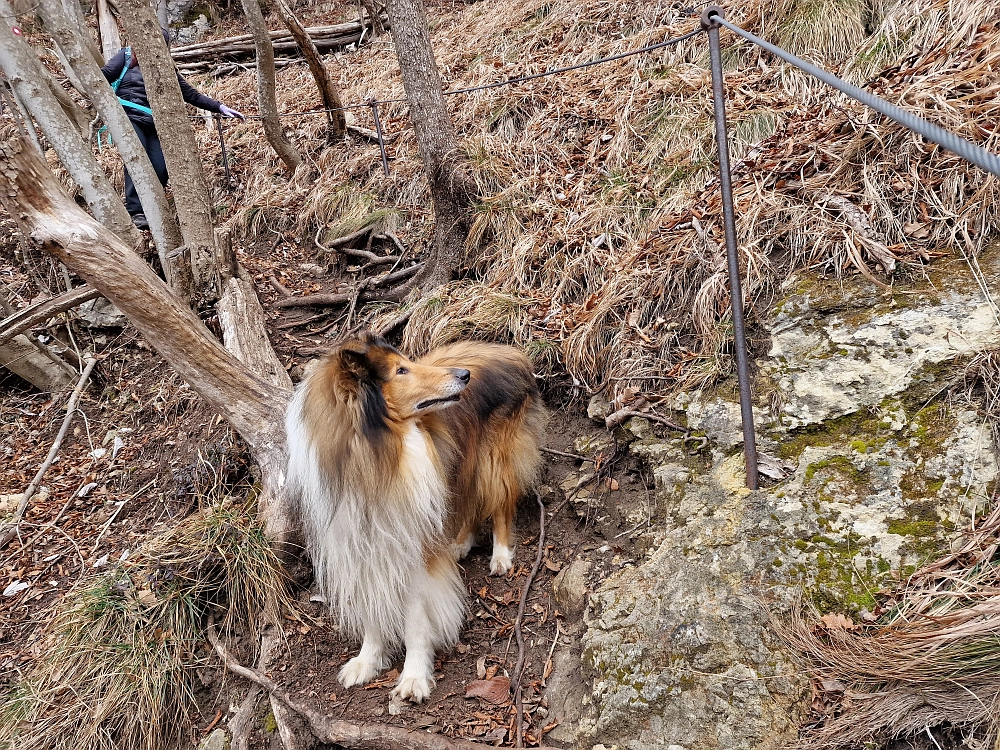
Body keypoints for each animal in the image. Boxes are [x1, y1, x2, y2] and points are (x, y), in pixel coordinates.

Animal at [286, 334, 544, 704]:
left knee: (498, 505)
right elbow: (372, 611)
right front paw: (368, 660)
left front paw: (414, 677)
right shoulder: (360, 549)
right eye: (401, 370)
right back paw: (460, 543)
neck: (376, 458)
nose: (464, 375)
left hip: (492, 459)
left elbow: (416, 623)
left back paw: (500, 555)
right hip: (462, 461)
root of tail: (508, 350)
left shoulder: (414, 552)